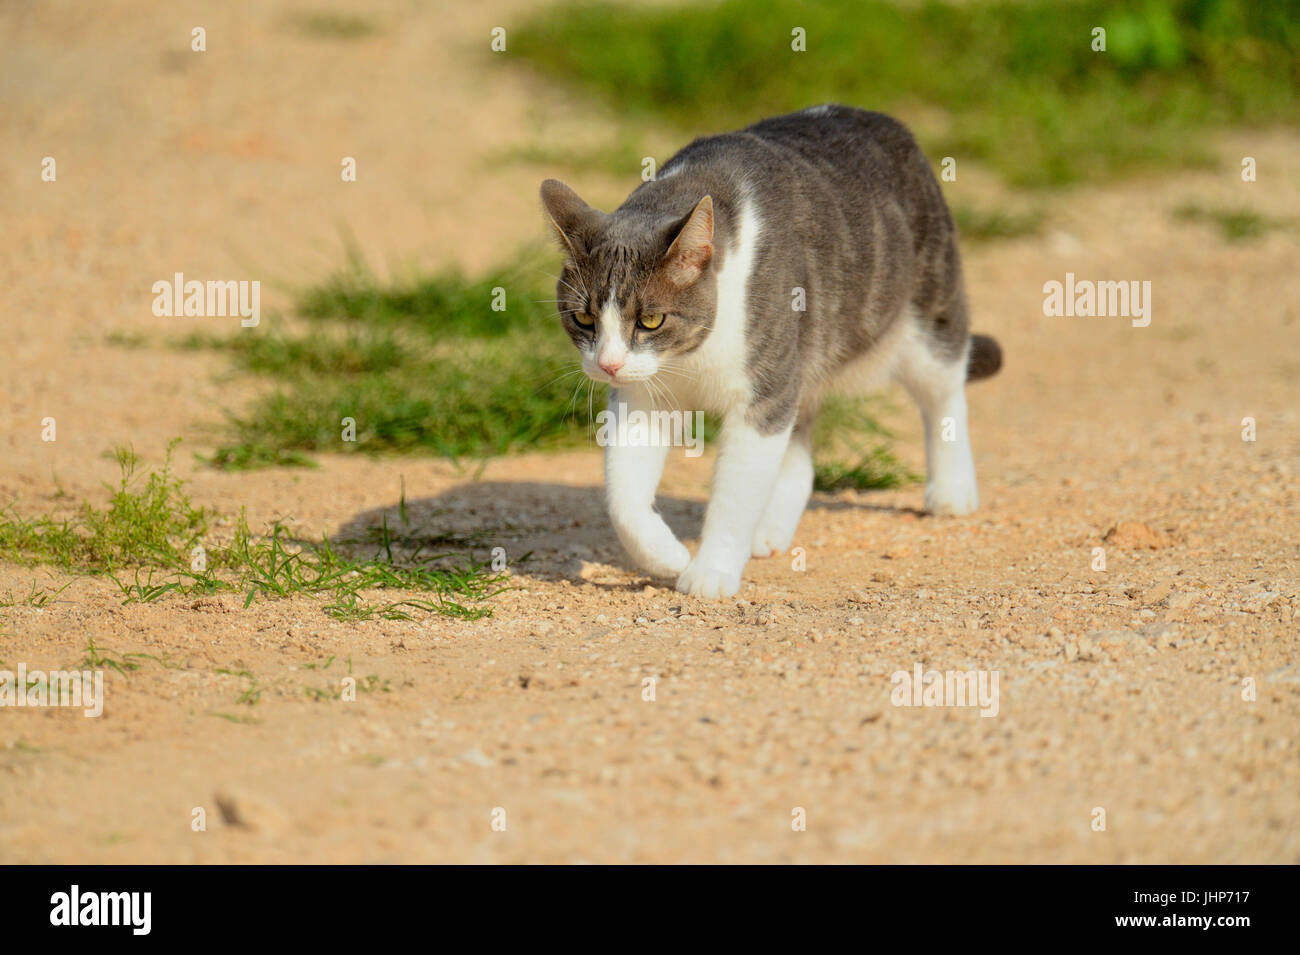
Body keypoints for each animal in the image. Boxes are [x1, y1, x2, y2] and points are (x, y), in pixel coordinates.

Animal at [538, 104, 1003, 597]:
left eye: (650, 321)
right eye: (583, 319)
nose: (607, 364)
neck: (689, 358)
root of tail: (874, 115)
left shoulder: (764, 390)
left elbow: (736, 495)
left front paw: (711, 572)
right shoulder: (642, 393)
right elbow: (622, 495)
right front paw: (667, 555)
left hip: (927, 314)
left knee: (944, 394)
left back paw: (952, 490)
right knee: (799, 458)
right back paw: (770, 529)